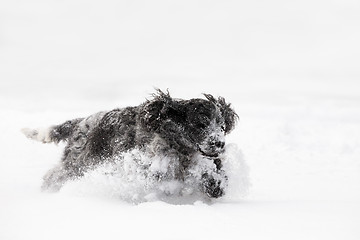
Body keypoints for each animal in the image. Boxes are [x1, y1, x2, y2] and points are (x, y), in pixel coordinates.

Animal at [21, 90, 238, 199]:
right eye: (200, 124)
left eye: (222, 125)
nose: (219, 143)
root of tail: (81, 122)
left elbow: (210, 169)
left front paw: (215, 185)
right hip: (79, 163)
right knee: (54, 176)